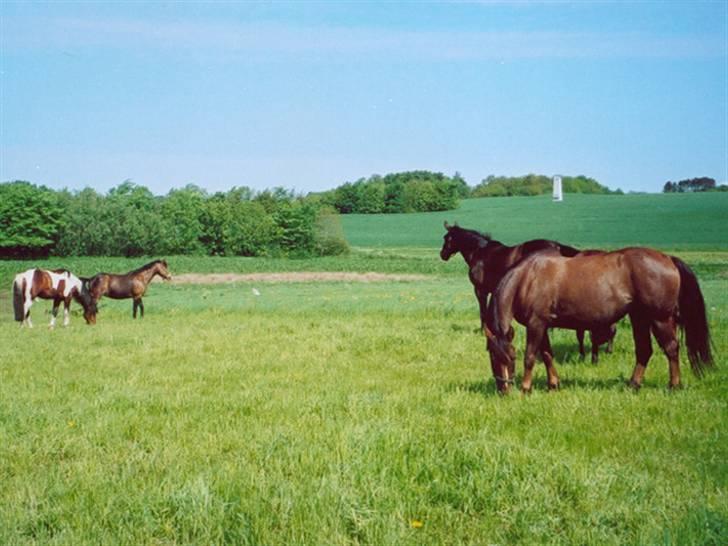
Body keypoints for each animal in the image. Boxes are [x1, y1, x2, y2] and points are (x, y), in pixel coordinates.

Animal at [486, 245, 712, 392]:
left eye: (511, 357)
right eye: (492, 357)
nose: (503, 389)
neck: (528, 278)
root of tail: (668, 258)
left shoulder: (536, 324)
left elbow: (531, 356)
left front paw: (526, 388)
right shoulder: (542, 325)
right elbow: (548, 355)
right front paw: (554, 384)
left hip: (660, 319)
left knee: (671, 349)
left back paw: (674, 385)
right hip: (639, 317)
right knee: (644, 350)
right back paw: (633, 384)